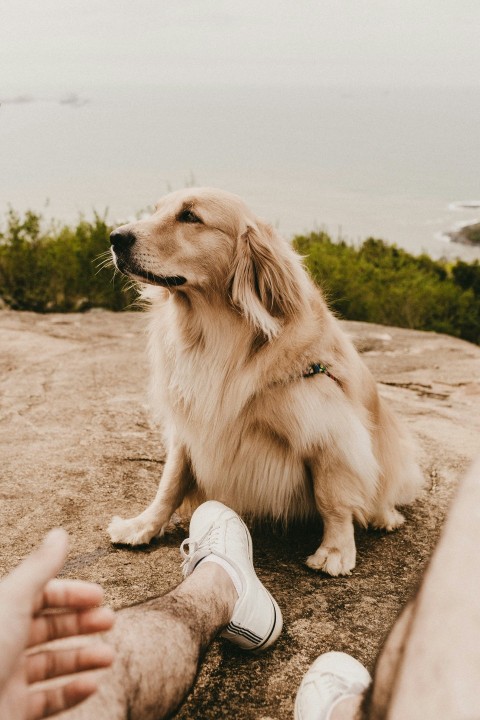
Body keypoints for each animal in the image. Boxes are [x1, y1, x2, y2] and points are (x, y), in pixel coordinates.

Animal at [107, 188, 422, 576]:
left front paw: (335, 549)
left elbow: (332, 495)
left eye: (190, 217)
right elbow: (170, 482)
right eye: (155, 211)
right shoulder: (190, 423)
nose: (115, 237)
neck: (216, 335)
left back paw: (383, 514)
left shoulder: (329, 429)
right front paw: (142, 525)